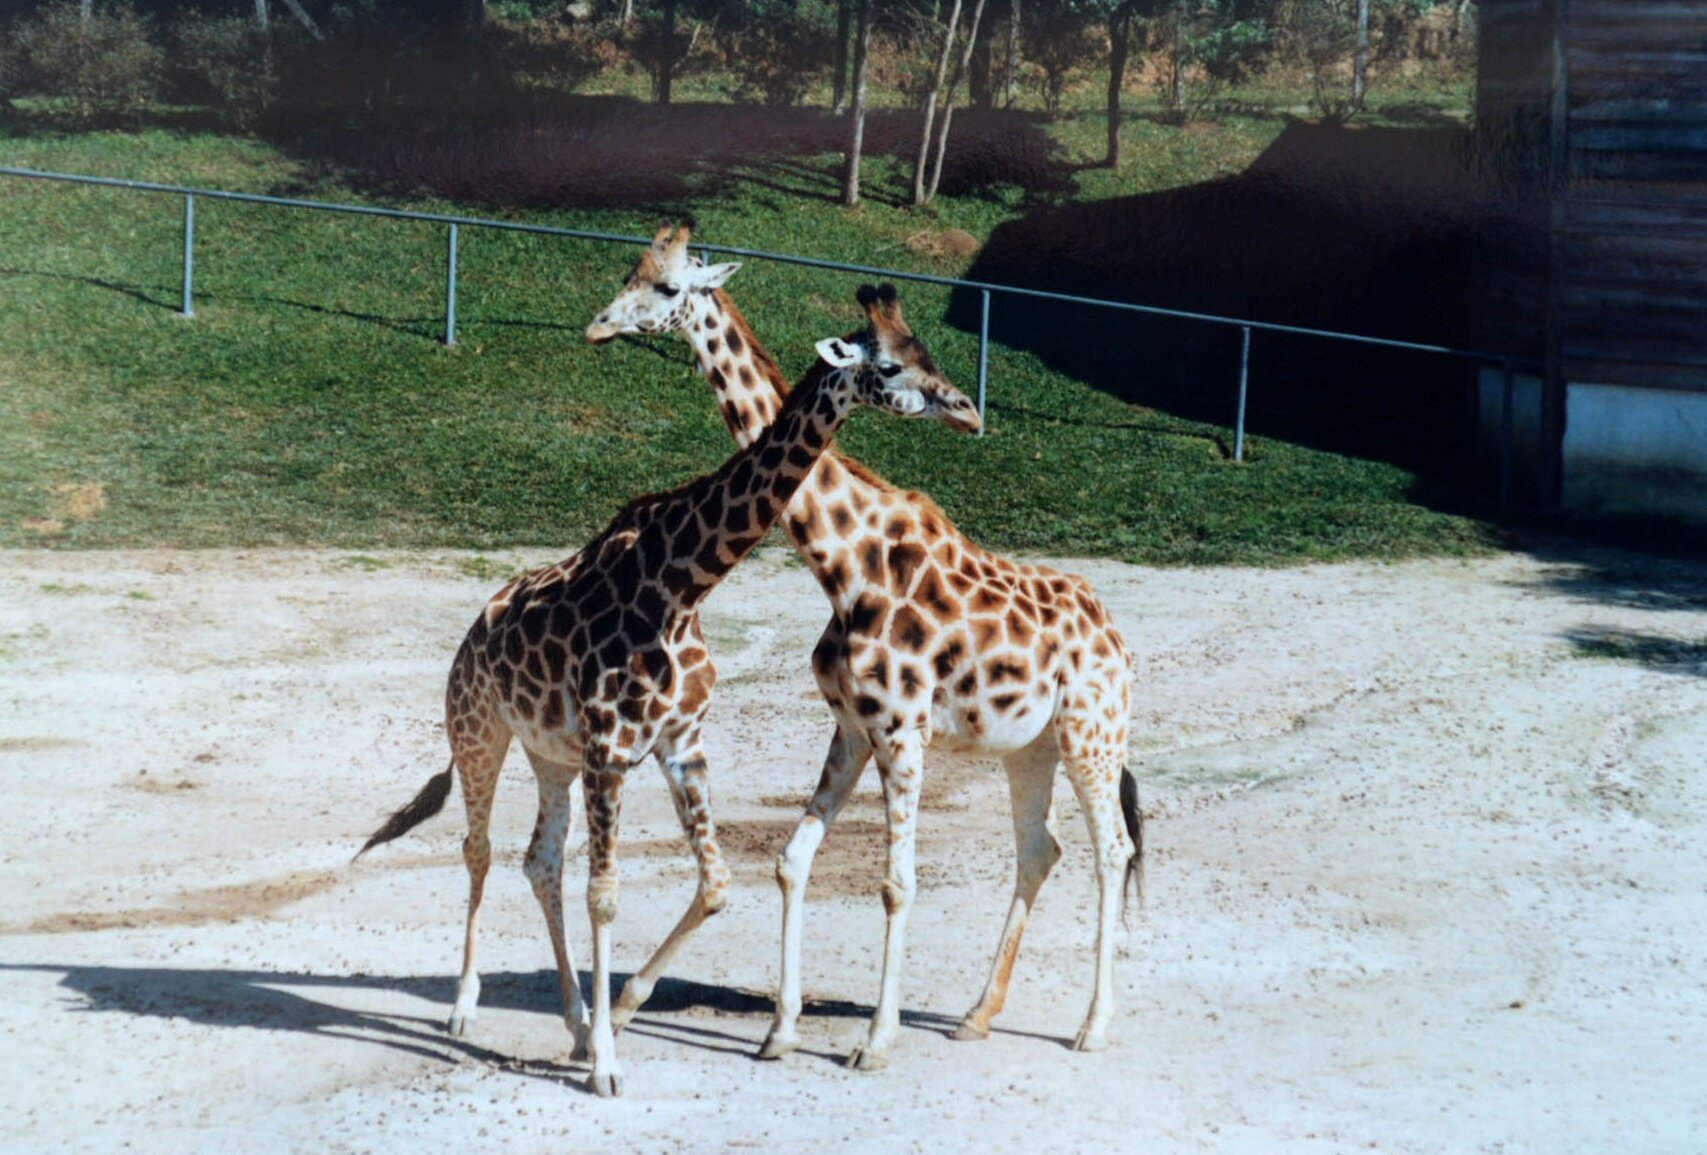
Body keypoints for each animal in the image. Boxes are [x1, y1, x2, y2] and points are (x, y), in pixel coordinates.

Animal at [353, 283, 983, 1091]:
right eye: (890, 364)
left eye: (925, 349)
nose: (966, 410)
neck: (684, 583)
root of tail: (471, 633)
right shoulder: (610, 748)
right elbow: (606, 895)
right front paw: (606, 1066)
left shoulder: (676, 742)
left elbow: (713, 883)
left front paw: (611, 1021)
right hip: (478, 734)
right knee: (478, 848)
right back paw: (465, 1009)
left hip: (550, 755)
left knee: (539, 860)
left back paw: (572, 1021)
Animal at [587, 220, 1147, 1064]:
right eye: (634, 273)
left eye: (666, 285)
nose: (968, 411)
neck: (840, 558)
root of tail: (1114, 634)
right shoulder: (851, 724)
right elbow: (792, 860)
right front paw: (780, 1030)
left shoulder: (901, 727)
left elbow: (897, 881)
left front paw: (874, 1041)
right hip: (1030, 746)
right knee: (1039, 848)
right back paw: (975, 1014)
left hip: (1092, 732)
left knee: (1111, 849)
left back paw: (1092, 1026)